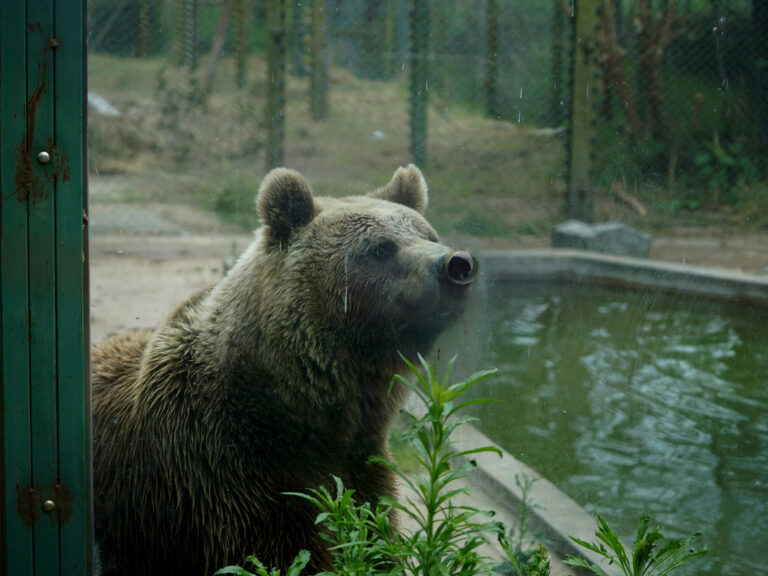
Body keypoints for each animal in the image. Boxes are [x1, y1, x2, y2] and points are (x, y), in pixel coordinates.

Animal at [92, 164, 478, 576]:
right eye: (380, 248)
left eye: (428, 234)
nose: (457, 263)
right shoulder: (222, 478)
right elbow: (280, 553)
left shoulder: (364, 468)